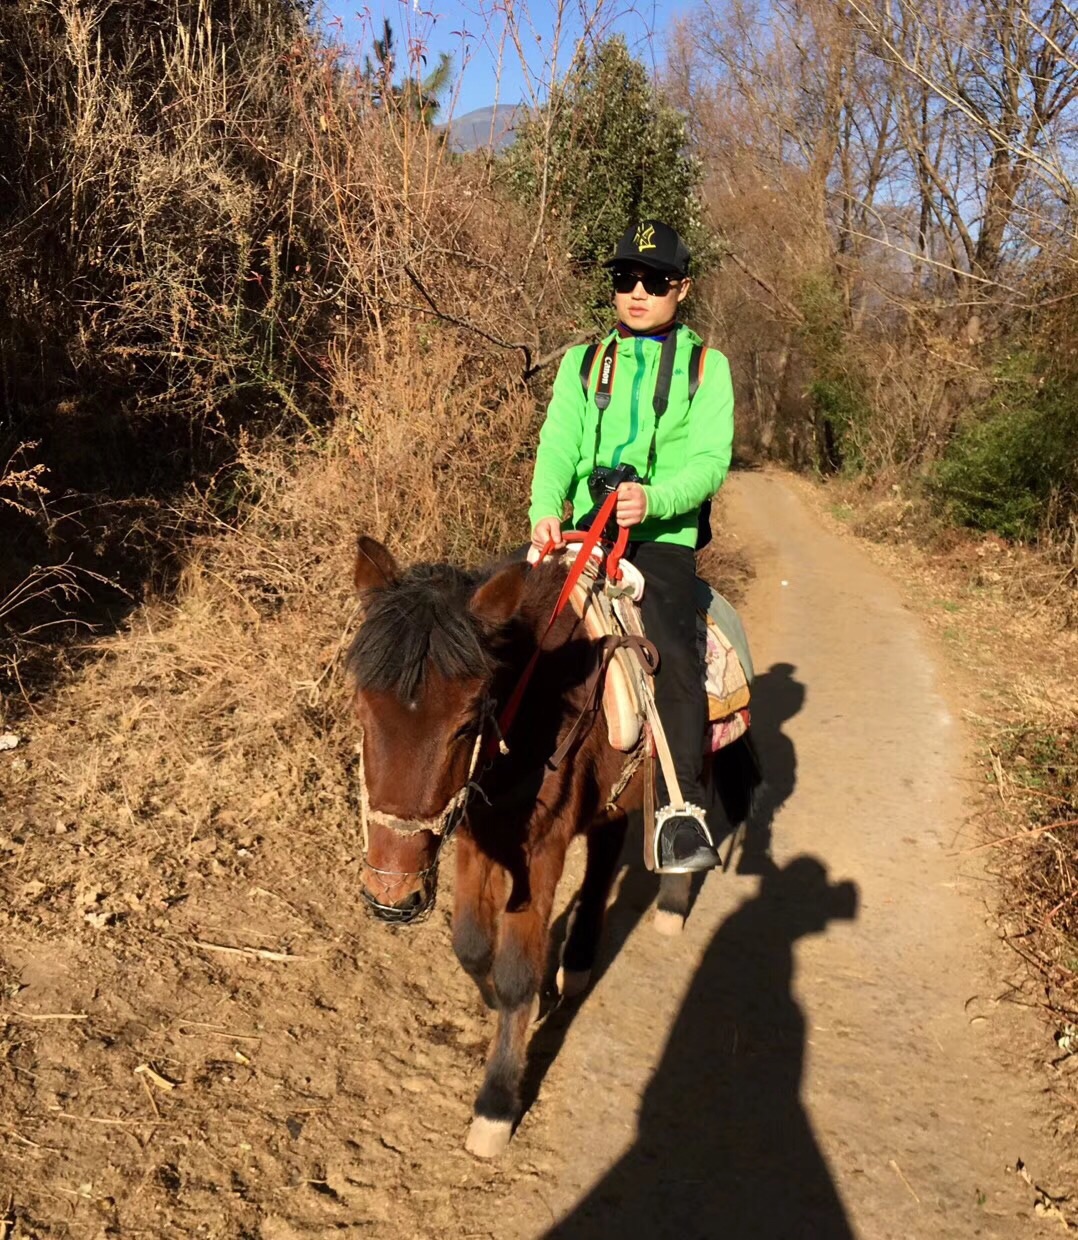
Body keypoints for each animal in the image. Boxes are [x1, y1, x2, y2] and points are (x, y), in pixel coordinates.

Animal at [347, 538, 759, 1155]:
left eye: (467, 720)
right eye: (362, 708)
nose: (391, 897)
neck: (535, 708)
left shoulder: (540, 850)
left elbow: (515, 972)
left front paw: (496, 1104)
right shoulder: (479, 834)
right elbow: (472, 945)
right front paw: (519, 994)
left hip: (695, 758)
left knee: (686, 804)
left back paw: (672, 899)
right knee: (604, 860)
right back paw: (579, 960)